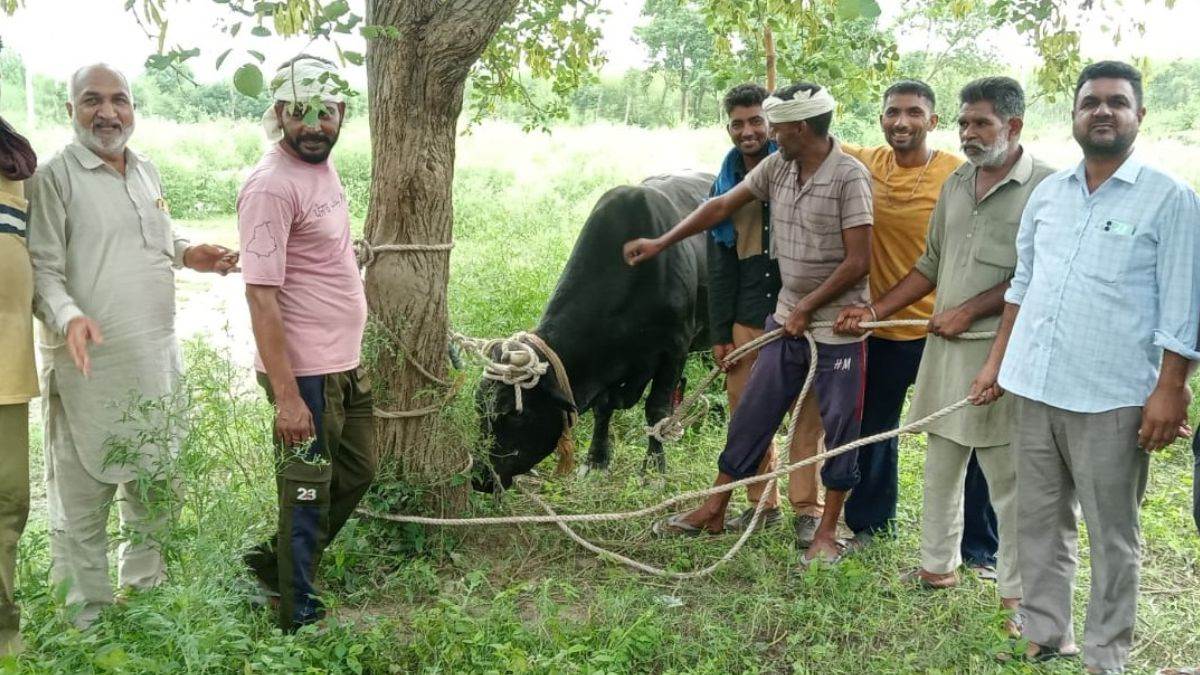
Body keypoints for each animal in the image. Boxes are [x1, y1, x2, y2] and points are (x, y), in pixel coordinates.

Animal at [473, 171, 714, 491]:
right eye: (479, 408)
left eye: (514, 415)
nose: (480, 477)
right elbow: (604, 407)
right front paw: (596, 460)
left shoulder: (675, 348)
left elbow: (656, 411)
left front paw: (653, 471)